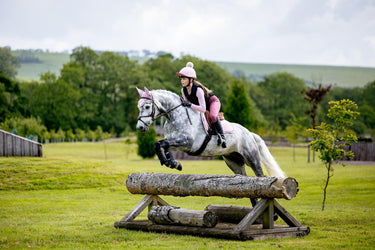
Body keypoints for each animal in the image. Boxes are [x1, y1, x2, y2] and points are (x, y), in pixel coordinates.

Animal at [137, 87, 286, 182]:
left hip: (252, 158)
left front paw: (172, 163)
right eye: (139, 107)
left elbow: (163, 143)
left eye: (147, 106)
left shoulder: (187, 142)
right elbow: (160, 144)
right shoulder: (174, 141)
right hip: (233, 161)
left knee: (260, 175)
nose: (140, 127)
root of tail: (249, 133)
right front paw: (171, 162)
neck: (175, 115)